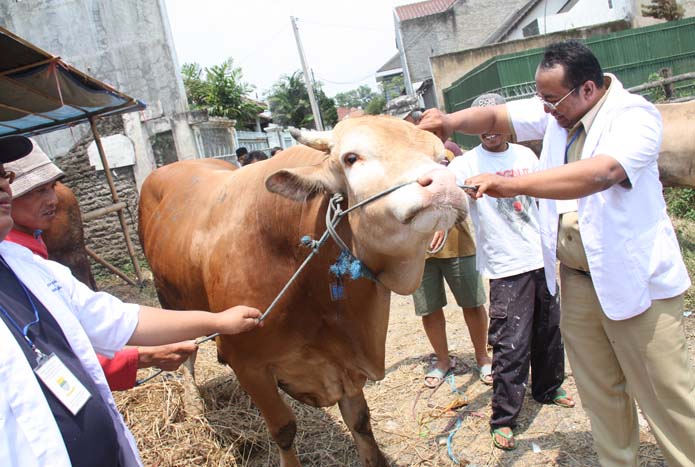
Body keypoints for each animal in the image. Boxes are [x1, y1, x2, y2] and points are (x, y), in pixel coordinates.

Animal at [137, 115, 468, 466]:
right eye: (351, 158)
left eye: (442, 159)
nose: (444, 183)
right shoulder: (250, 366)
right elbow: (284, 429)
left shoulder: (344, 365)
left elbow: (360, 421)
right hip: (170, 299)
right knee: (186, 355)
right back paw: (193, 403)